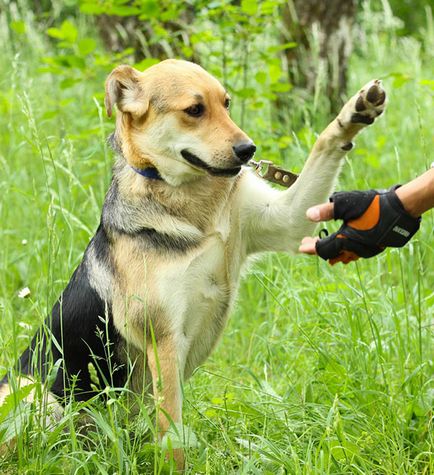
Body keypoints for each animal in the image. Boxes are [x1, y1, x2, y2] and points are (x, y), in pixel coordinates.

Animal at [0, 59, 386, 468]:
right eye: (194, 110)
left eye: (226, 104)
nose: (248, 150)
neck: (189, 199)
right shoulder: (165, 342)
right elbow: (173, 437)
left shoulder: (286, 220)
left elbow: (323, 145)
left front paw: (355, 112)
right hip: (37, 393)